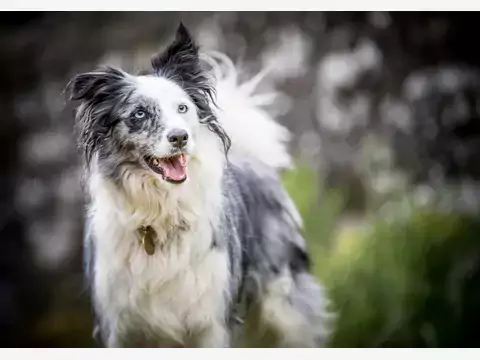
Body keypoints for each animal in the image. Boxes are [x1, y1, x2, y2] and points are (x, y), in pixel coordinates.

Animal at [70, 23, 334, 348]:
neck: (159, 215)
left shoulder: (213, 321)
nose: (180, 137)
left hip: (284, 305)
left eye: (182, 108)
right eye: (139, 114)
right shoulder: (118, 328)